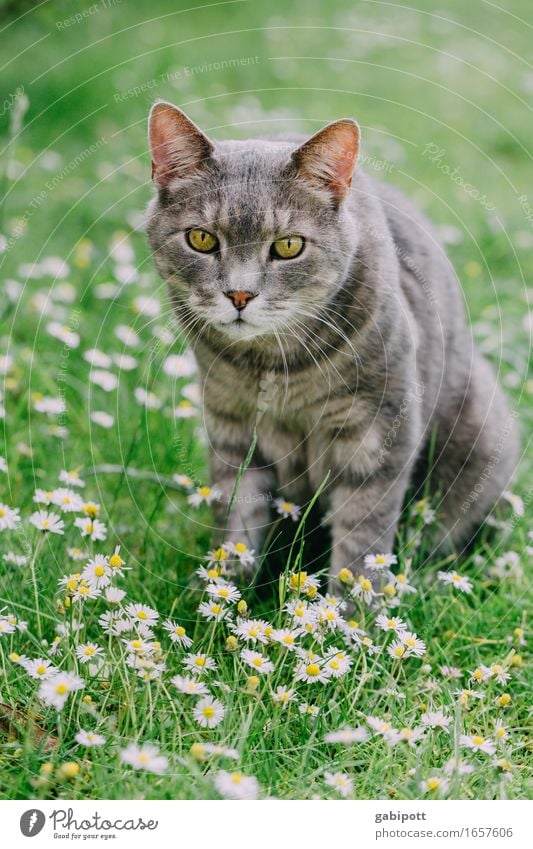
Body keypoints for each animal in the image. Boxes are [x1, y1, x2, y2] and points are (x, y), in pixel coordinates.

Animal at [144, 99, 516, 584]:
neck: (272, 366)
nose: (240, 295)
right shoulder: (231, 427)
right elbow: (238, 519)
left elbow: (362, 540)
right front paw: (223, 590)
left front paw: (346, 604)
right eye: (201, 238)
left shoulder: (377, 431)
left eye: (288, 246)